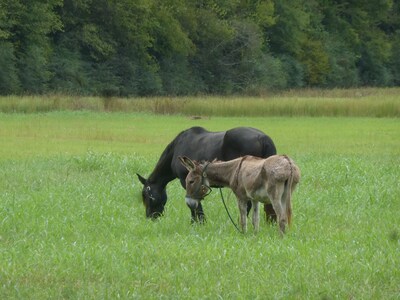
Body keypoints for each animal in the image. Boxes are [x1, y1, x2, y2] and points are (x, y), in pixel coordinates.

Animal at [136, 126, 276, 223]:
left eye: (146, 196)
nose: (150, 217)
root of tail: (263, 138)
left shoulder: (186, 181)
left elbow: (193, 203)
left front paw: (197, 222)